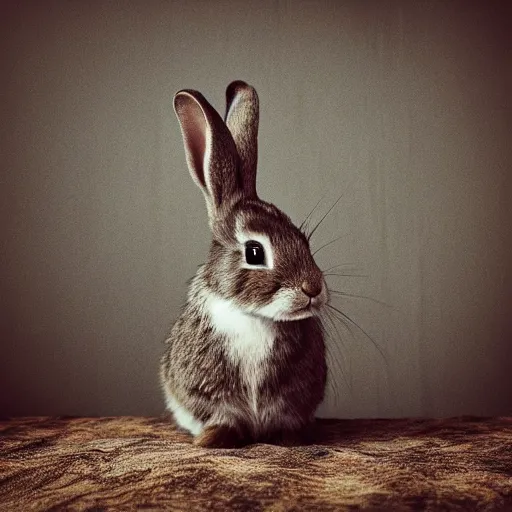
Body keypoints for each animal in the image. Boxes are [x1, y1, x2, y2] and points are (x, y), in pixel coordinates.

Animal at [159, 81, 328, 448]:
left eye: (303, 240)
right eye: (254, 252)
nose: (313, 289)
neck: (254, 316)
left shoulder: (290, 400)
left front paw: (289, 439)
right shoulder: (208, 392)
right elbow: (221, 416)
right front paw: (213, 439)